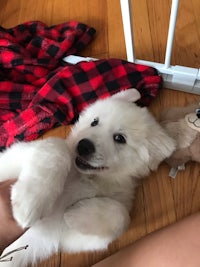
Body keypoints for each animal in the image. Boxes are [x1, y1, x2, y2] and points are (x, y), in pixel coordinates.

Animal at [0, 89, 175, 266]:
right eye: (94, 122)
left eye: (119, 138)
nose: (83, 146)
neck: (85, 177)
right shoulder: (16, 155)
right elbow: (58, 147)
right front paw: (30, 202)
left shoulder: (66, 237)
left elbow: (121, 215)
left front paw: (74, 213)